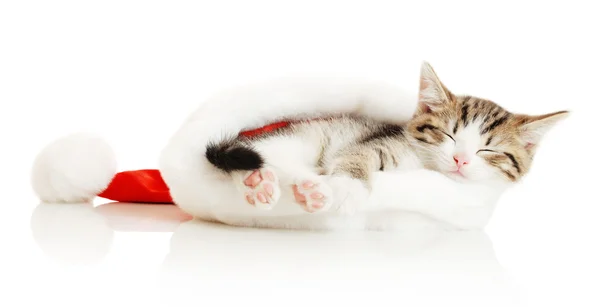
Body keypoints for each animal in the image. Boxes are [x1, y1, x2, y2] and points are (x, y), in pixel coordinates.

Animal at [204, 62, 564, 214]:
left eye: (488, 150)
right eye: (447, 133)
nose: (461, 159)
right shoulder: (376, 141)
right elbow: (355, 156)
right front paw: (349, 187)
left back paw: (305, 189)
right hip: (298, 138)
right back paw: (257, 183)